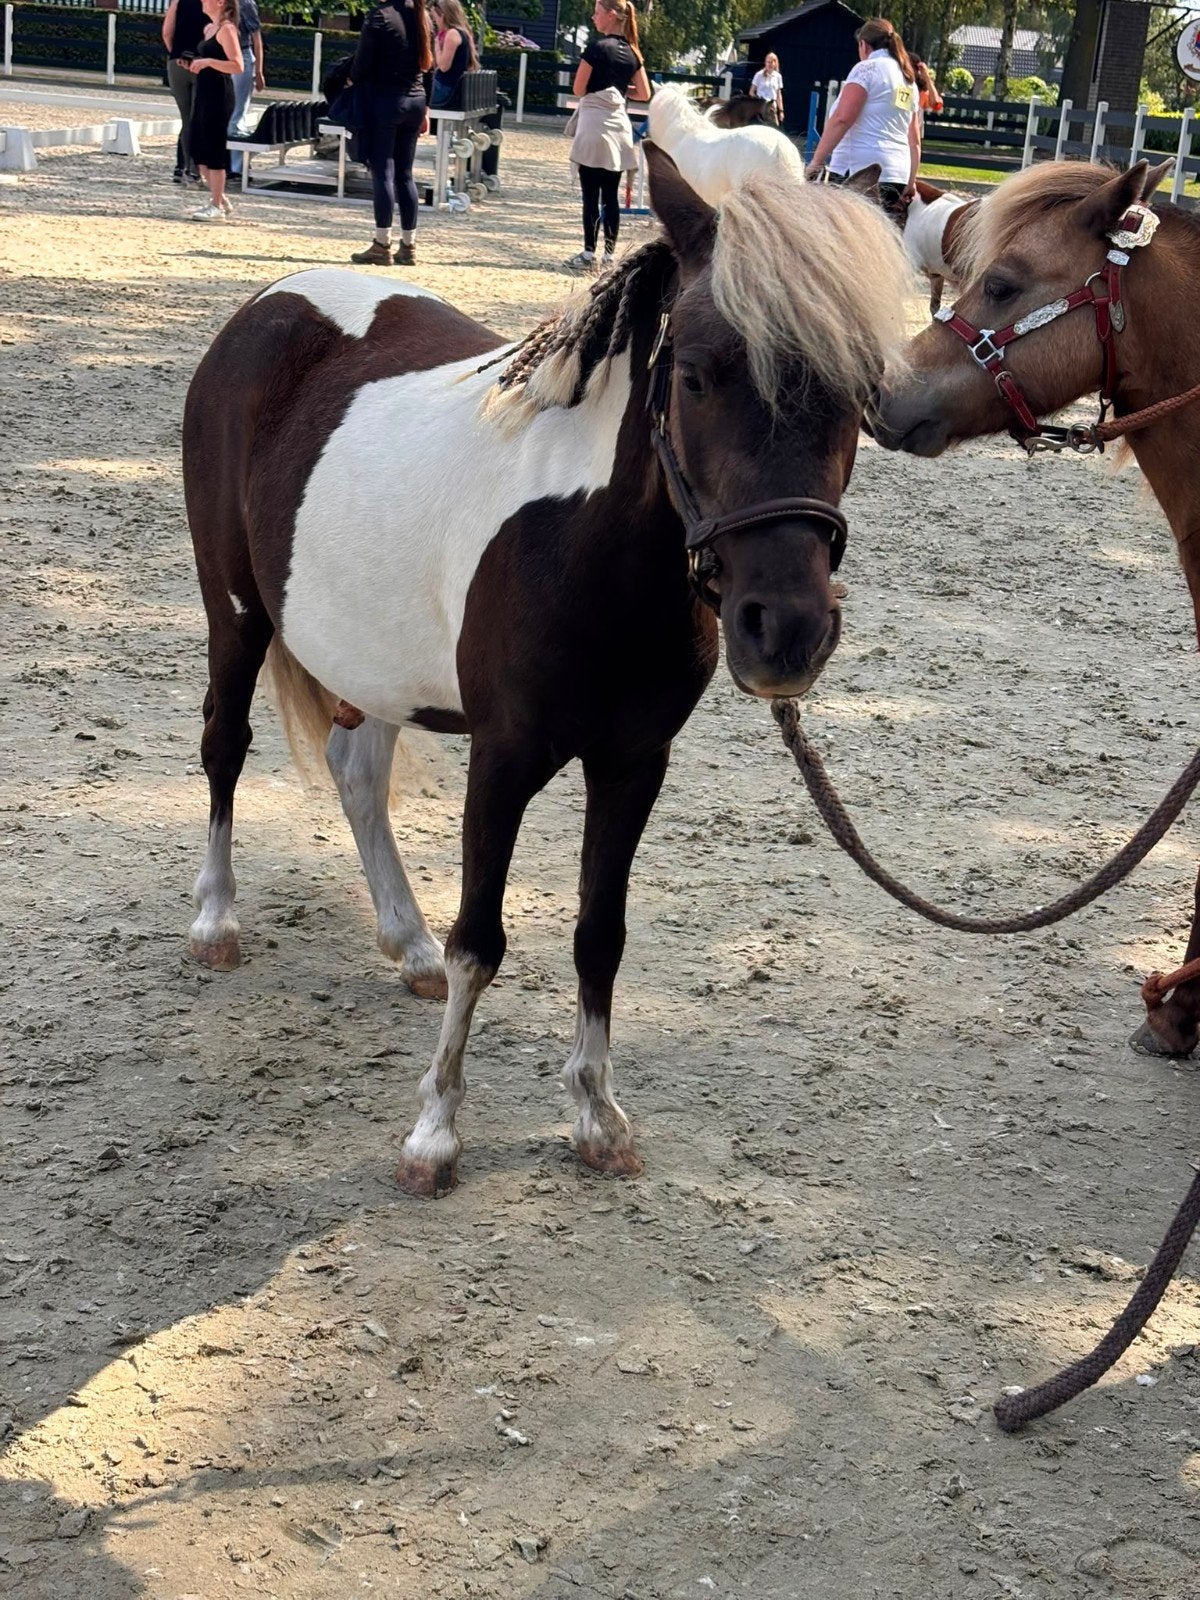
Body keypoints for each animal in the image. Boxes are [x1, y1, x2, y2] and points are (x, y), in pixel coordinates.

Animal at [183, 143, 911, 1197]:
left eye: (859, 393)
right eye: (696, 376)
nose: (786, 631)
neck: (583, 544)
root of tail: (266, 308)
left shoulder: (633, 763)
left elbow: (599, 933)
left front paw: (596, 1116)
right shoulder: (506, 757)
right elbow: (482, 940)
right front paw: (434, 1133)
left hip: (371, 658)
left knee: (357, 774)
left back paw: (404, 944)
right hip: (234, 613)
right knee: (224, 746)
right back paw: (217, 921)